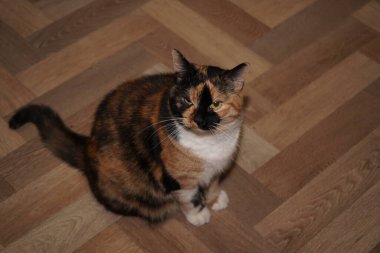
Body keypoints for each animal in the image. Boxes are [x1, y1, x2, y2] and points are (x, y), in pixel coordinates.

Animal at [8, 50, 248, 226]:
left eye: (216, 103)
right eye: (188, 101)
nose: (199, 119)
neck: (211, 143)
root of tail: (88, 146)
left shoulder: (219, 167)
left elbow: (214, 182)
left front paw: (215, 198)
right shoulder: (179, 180)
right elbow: (189, 199)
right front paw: (199, 215)